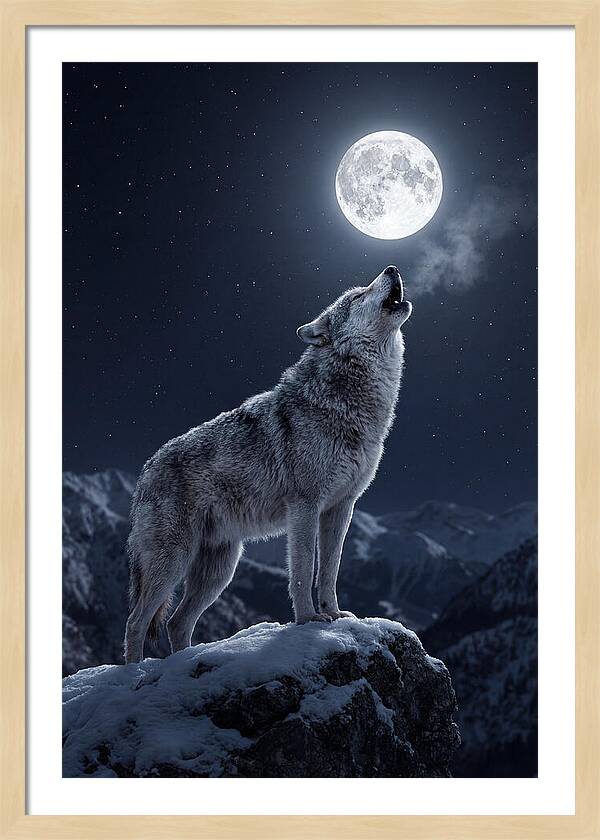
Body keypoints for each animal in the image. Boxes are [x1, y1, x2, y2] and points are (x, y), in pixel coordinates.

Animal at [123, 265, 412, 663]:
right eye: (357, 295)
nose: (392, 268)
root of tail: (145, 470)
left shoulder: (341, 507)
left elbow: (330, 570)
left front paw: (335, 614)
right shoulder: (304, 506)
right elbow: (304, 569)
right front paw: (308, 620)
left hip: (220, 570)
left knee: (176, 622)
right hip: (173, 562)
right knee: (136, 622)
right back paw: (133, 673)